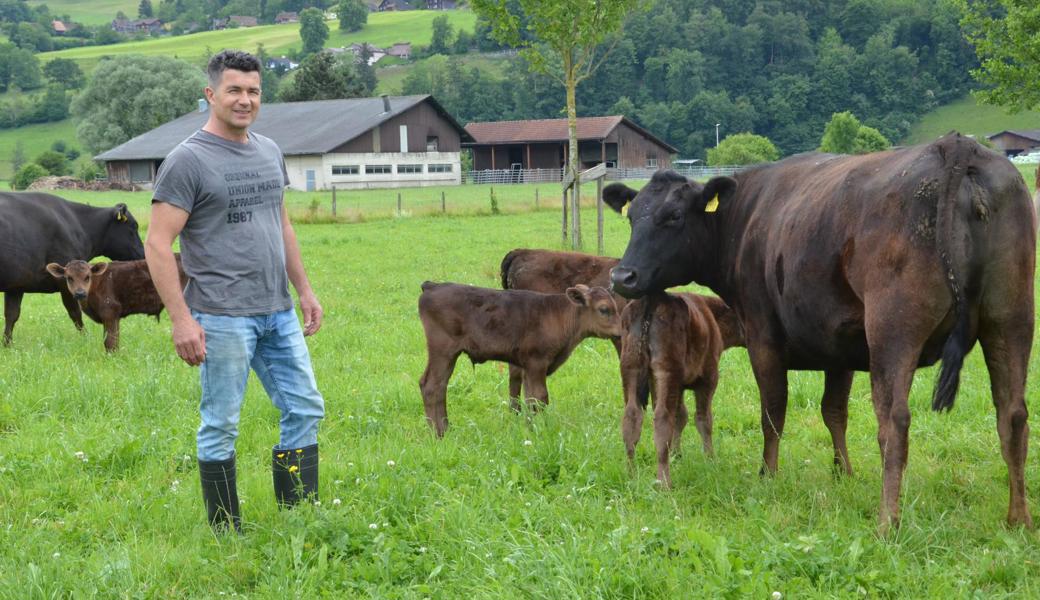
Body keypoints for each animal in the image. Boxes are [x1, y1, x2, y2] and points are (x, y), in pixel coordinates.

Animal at [0, 191, 146, 343]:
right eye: (133, 227)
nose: (143, 255)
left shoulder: (16, 285)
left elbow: (11, 315)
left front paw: (7, 343)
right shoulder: (65, 281)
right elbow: (75, 312)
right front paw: (86, 338)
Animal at [416, 280, 624, 434]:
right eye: (604, 309)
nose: (621, 333)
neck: (557, 315)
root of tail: (433, 286)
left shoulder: (527, 367)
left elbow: (529, 397)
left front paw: (529, 427)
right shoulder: (536, 362)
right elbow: (540, 398)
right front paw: (540, 430)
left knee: (438, 385)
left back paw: (445, 427)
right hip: (443, 350)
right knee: (432, 386)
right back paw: (439, 433)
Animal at [619, 293, 744, 488]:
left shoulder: (671, 384)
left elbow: (680, 416)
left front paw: (676, 454)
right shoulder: (707, 378)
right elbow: (703, 419)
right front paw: (710, 459)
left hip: (631, 366)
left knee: (632, 416)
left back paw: (630, 475)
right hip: (667, 369)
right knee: (662, 419)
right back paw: (665, 482)